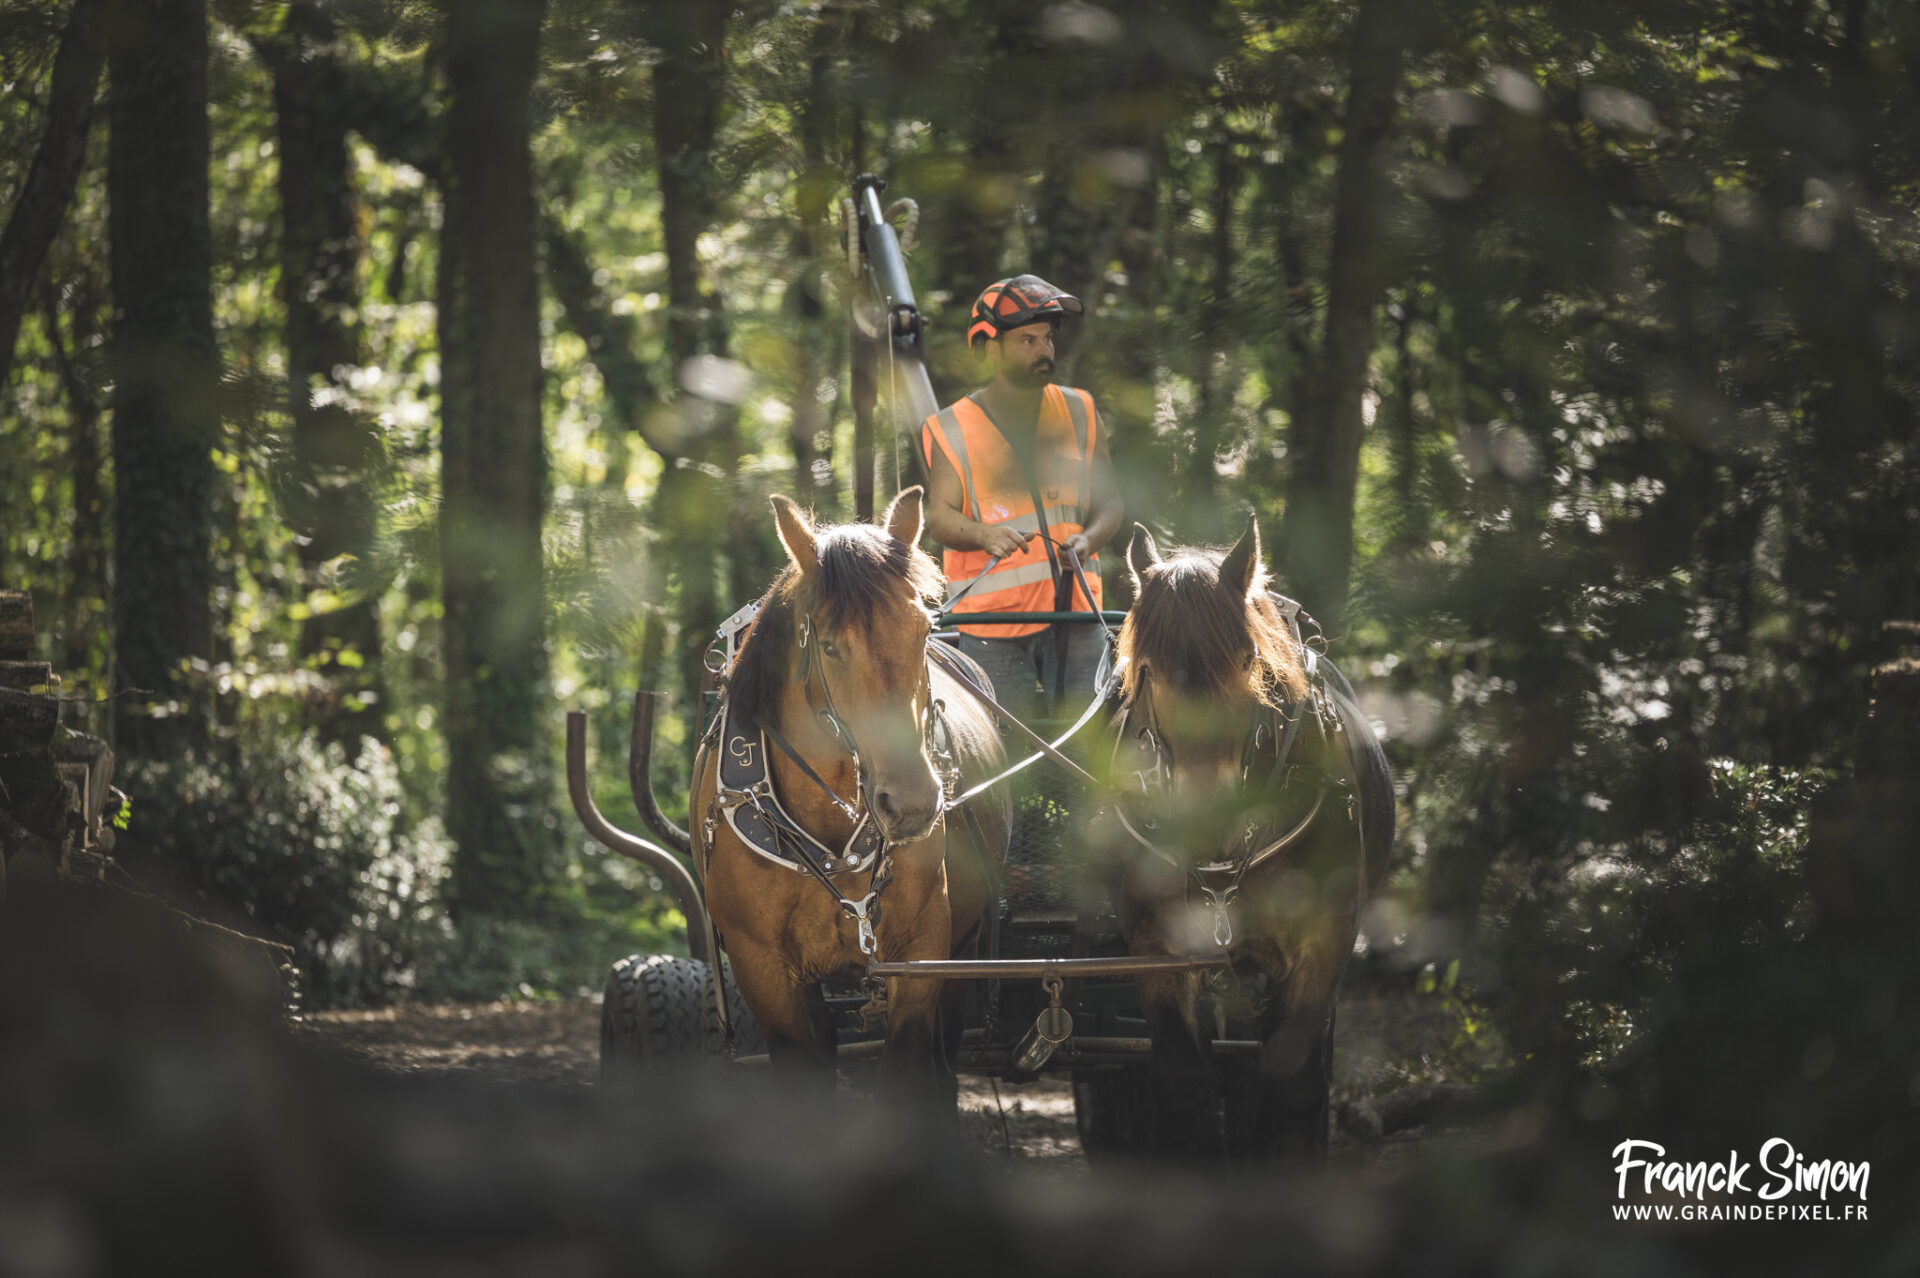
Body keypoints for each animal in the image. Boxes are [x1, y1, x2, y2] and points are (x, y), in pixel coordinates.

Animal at [1095, 515, 1393, 1159]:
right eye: (1145, 666)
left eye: (1247, 658)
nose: (1208, 811)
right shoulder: (1158, 944)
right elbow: (1183, 1079)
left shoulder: (1324, 942)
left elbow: (1293, 1077)